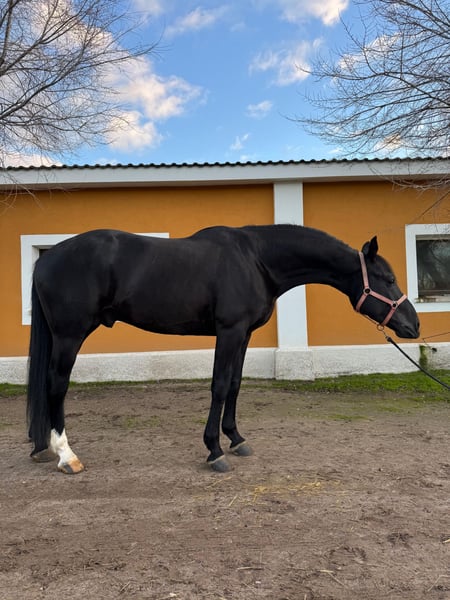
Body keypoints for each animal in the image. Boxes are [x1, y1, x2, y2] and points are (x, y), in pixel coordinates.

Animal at [27, 225, 420, 474]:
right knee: (56, 385)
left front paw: (236, 439)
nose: (413, 325)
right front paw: (214, 450)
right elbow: (218, 386)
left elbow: (234, 384)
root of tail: (45, 258)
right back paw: (66, 456)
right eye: (387, 279)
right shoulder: (228, 332)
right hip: (69, 335)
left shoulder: (243, 334)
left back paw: (43, 448)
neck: (256, 260)